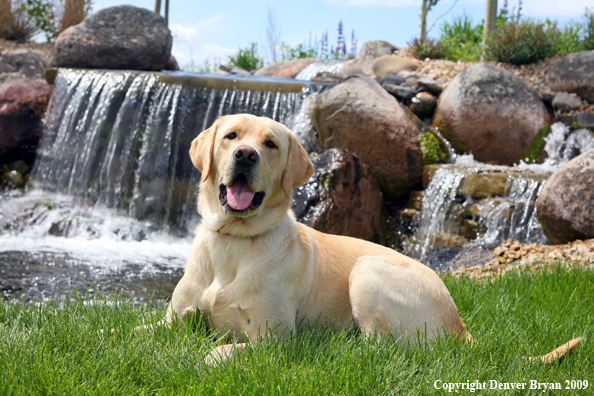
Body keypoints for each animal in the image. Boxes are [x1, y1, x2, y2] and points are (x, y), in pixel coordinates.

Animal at [157, 113, 580, 366]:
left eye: (270, 144)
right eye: (231, 137)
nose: (245, 155)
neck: (233, 241)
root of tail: (460, 325)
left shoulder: (273, 339)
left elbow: (221, 350)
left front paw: (200, 357)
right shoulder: (171, 320)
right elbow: (145, 333)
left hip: (367, 271)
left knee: (382, 350)